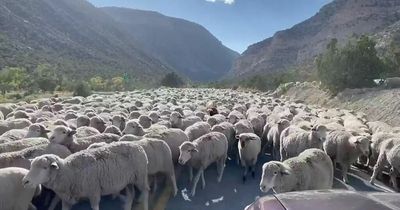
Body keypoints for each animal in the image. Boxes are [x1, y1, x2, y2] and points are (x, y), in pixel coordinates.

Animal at [23, 141, 152, 210]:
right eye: (31, 166)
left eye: (44, 168)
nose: (25, 182)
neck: (69, 173)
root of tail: (138, 146)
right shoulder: (66, 200)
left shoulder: (94, 192)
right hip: (129, 180)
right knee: (131, 195)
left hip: (140, 176)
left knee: (146, 191)